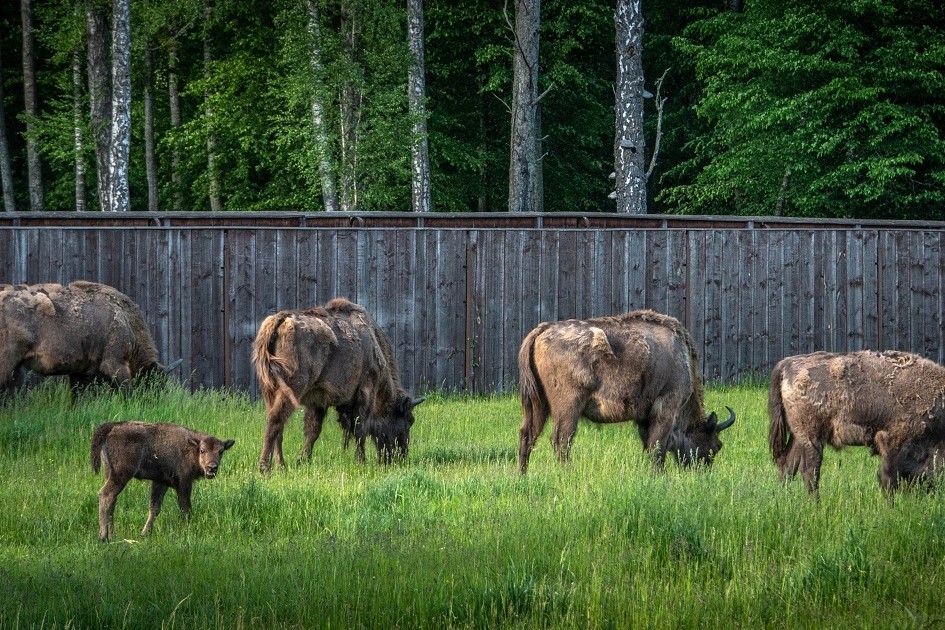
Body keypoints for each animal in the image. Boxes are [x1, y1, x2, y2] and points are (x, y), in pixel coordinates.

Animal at [0, 282, 166, 396]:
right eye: (152, 382)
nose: (155, 401)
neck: (126, 320)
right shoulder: (115, 363)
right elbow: (126, 389)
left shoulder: (82, 371)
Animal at [90, 420, 234, 544]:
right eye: (202, 450)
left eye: (221, 451)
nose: (212, 467)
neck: (191, 447)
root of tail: (112, 426)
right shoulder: (184, 483)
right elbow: (186, 508)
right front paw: (188, 529)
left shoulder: (160, 482)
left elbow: (155, 508)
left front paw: (145, 534)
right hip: (121, 475)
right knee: (106, 495)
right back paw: (103, 537)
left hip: (109, 473)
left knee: (112, 501)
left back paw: (112, 535)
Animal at [254, 298, 424, 472]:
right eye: (409, 420)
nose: (400, 456)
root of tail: (280, 320)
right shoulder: (365, 391)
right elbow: (359, 428)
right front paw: (361, 461)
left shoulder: (318, 400)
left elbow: (313, 430)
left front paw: (302, 460)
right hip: (292, 387)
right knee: (275, 420)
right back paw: (265, 468)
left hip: (270, 390)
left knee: (278, 426)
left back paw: (281, 465)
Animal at [520, 308, 732, 476]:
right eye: (715, 446)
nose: (704, 472)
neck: (682, 357)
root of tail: (543, 329)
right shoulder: (667, 406)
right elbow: (657, 446)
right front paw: (660, 476)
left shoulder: (645, 417)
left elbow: (650, 445)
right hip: (569, 407)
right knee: (561, 440)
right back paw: (567, 473)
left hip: (538, 405)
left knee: (528, 435)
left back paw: (522, 474)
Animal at [768, 350, 944, 494]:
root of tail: (786, 364)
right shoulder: (894, 442)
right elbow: (889, 477)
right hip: (811, 437)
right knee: (809, 471)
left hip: (798, 436)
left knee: (787, 464)